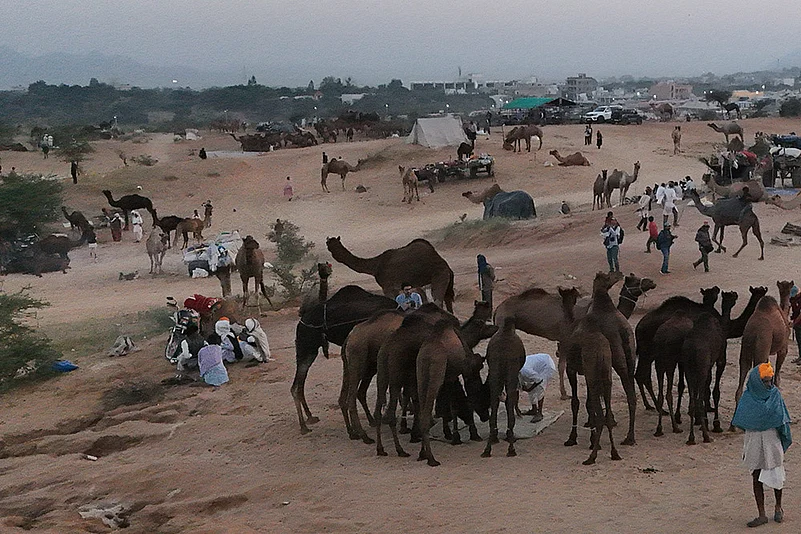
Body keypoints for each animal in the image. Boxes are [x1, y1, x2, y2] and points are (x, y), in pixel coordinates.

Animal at [292, 285, 397, 434]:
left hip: (309, 350)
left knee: (299, 383)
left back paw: (310, 417)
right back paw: (304, 426)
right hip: (306, 347)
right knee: (296, 386)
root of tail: (302, 319)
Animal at [326, 236, 455, 312]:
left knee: (438, 300)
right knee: (446, 301)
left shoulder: (388, 286)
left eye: (329, 244)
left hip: (439, 274)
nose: (330, 246)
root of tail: (446, 265)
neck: (376, 266)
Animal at [481, 317, 526, 459]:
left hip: (496, 376)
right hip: (510, 375)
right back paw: (511, 449)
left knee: (494, 408)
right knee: (510, 406)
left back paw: (487, 449)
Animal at [733, 281, 793, 411]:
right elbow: (777, 375)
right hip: (762, 342)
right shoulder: (783, 347)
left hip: (746, 344)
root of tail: (754, 332)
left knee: (743, 370)